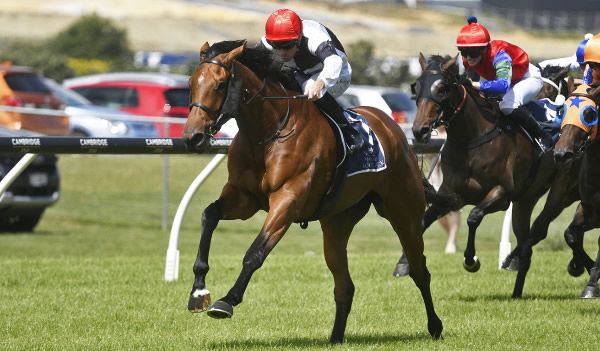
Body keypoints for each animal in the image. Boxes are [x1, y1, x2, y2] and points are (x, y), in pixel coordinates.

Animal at [183, 40, 446, 344]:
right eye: (191, 82)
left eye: (221, 84)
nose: (192, 136)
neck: (269, 132)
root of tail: (393, 129)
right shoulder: (243, 199)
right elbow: (209, 215)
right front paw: (198, 290)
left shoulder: (287, 202)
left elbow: (255, 252)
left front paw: (227, 300)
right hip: (337, 224)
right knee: (345, 286)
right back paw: (335, 337)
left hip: (405, 215)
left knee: (419, 270)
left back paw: (435, 326)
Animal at [408, 53, 576, 298]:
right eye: (416, 87)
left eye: (441, 88)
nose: (419, 130)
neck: (471, 140)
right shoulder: (452, 194)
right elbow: (424, 220)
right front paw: (404, 265)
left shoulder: (502, 194)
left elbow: (473, 216)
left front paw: (471, 260)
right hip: (525, 201)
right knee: (527, 246)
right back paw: (516, 291)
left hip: (560, 190)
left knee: (540, 230)